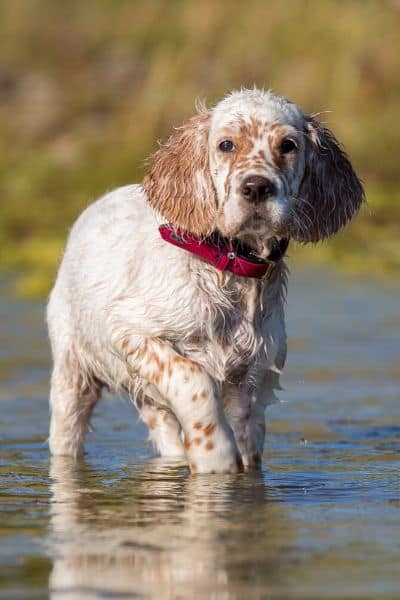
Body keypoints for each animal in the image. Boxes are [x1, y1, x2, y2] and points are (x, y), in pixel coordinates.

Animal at [46, 89, 362, 474]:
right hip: (72, 374)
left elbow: (247, 442)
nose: (257, 187)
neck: (228, 266)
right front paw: (216, 456)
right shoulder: (129, 330)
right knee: (66, 433)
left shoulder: (252, 380)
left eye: (288, 145)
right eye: (226, 144)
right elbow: (192, 378)